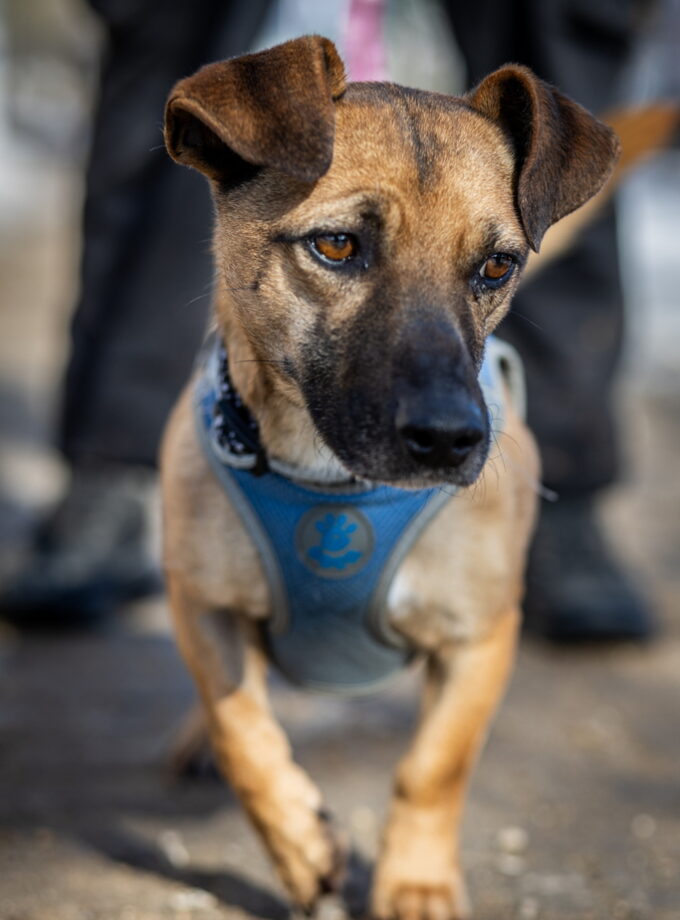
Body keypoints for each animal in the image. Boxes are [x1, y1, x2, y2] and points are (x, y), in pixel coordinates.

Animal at [160, 35, 619, 919]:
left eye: (496, 265)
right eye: (337, 246)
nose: (450, 438)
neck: (328, 480)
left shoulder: (481, 637)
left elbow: (434, 768)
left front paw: (415, 883)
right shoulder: (201, 604)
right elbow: (241, 733)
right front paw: (302, 847)